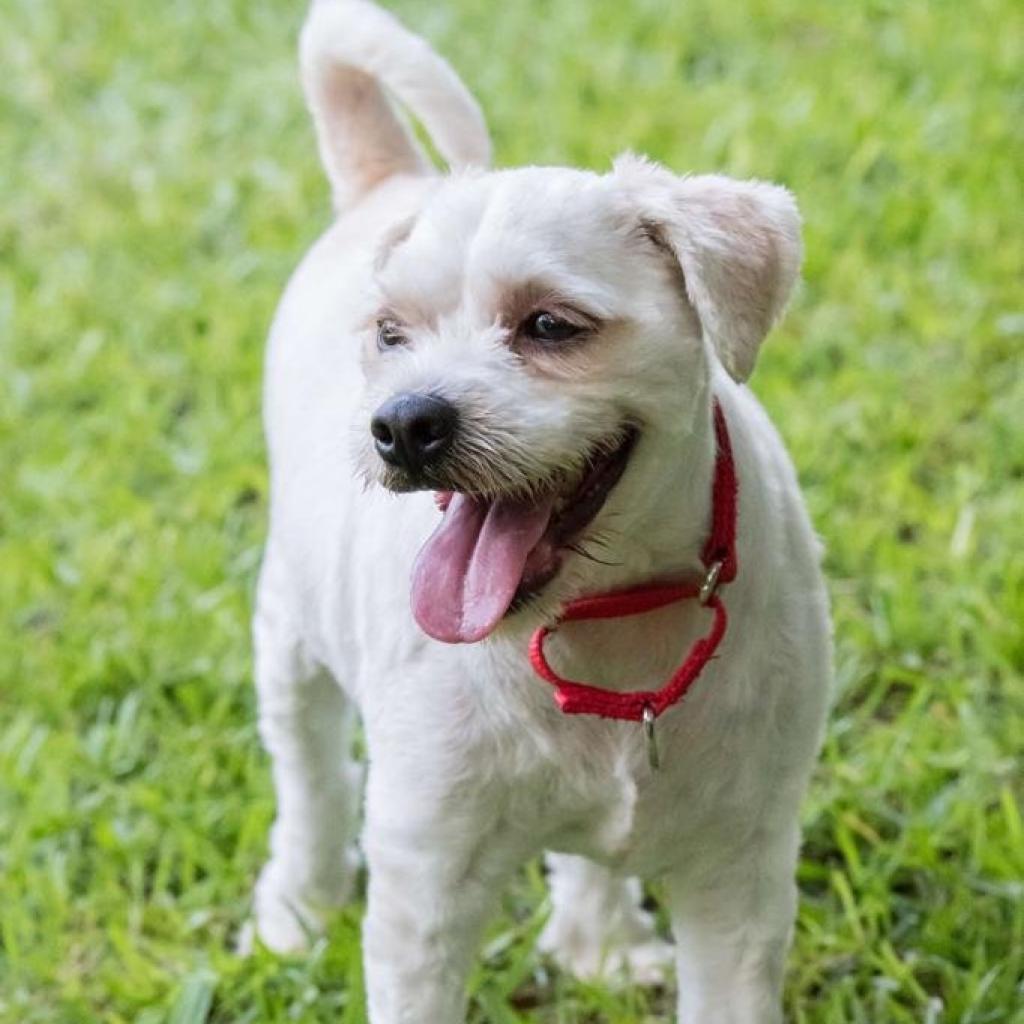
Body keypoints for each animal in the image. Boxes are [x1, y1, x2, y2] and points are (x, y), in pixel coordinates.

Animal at [247, 4, 831, 1019]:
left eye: (551, 325)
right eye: (391, 334)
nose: (404, 424)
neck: (602, 619)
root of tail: (391, 179)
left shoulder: (743, 877)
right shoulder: (425, 892)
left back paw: (601, 942)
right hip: (290, 627)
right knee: (311, 773)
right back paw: (300, 900)